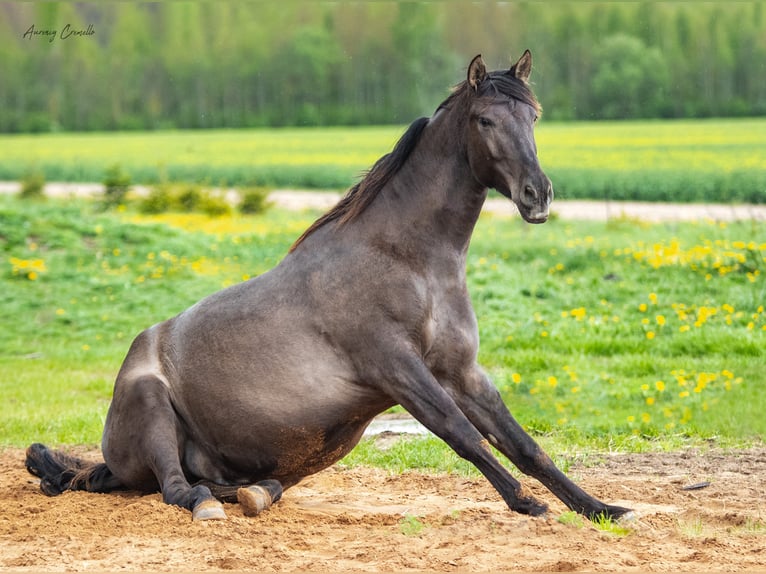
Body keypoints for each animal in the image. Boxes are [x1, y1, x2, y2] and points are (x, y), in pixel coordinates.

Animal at [27, 51, 632, 524]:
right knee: (177, 489)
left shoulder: (462, 371)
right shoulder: (398, 369)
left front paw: (602, 509)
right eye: (484, 120)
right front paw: (526, 503)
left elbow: (525, 444)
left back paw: (248, 493)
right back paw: (208, 504)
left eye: (533, 116)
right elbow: (461, 434)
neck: (409, 261)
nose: (538, 195)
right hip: (152, 404)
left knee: (247, 484)